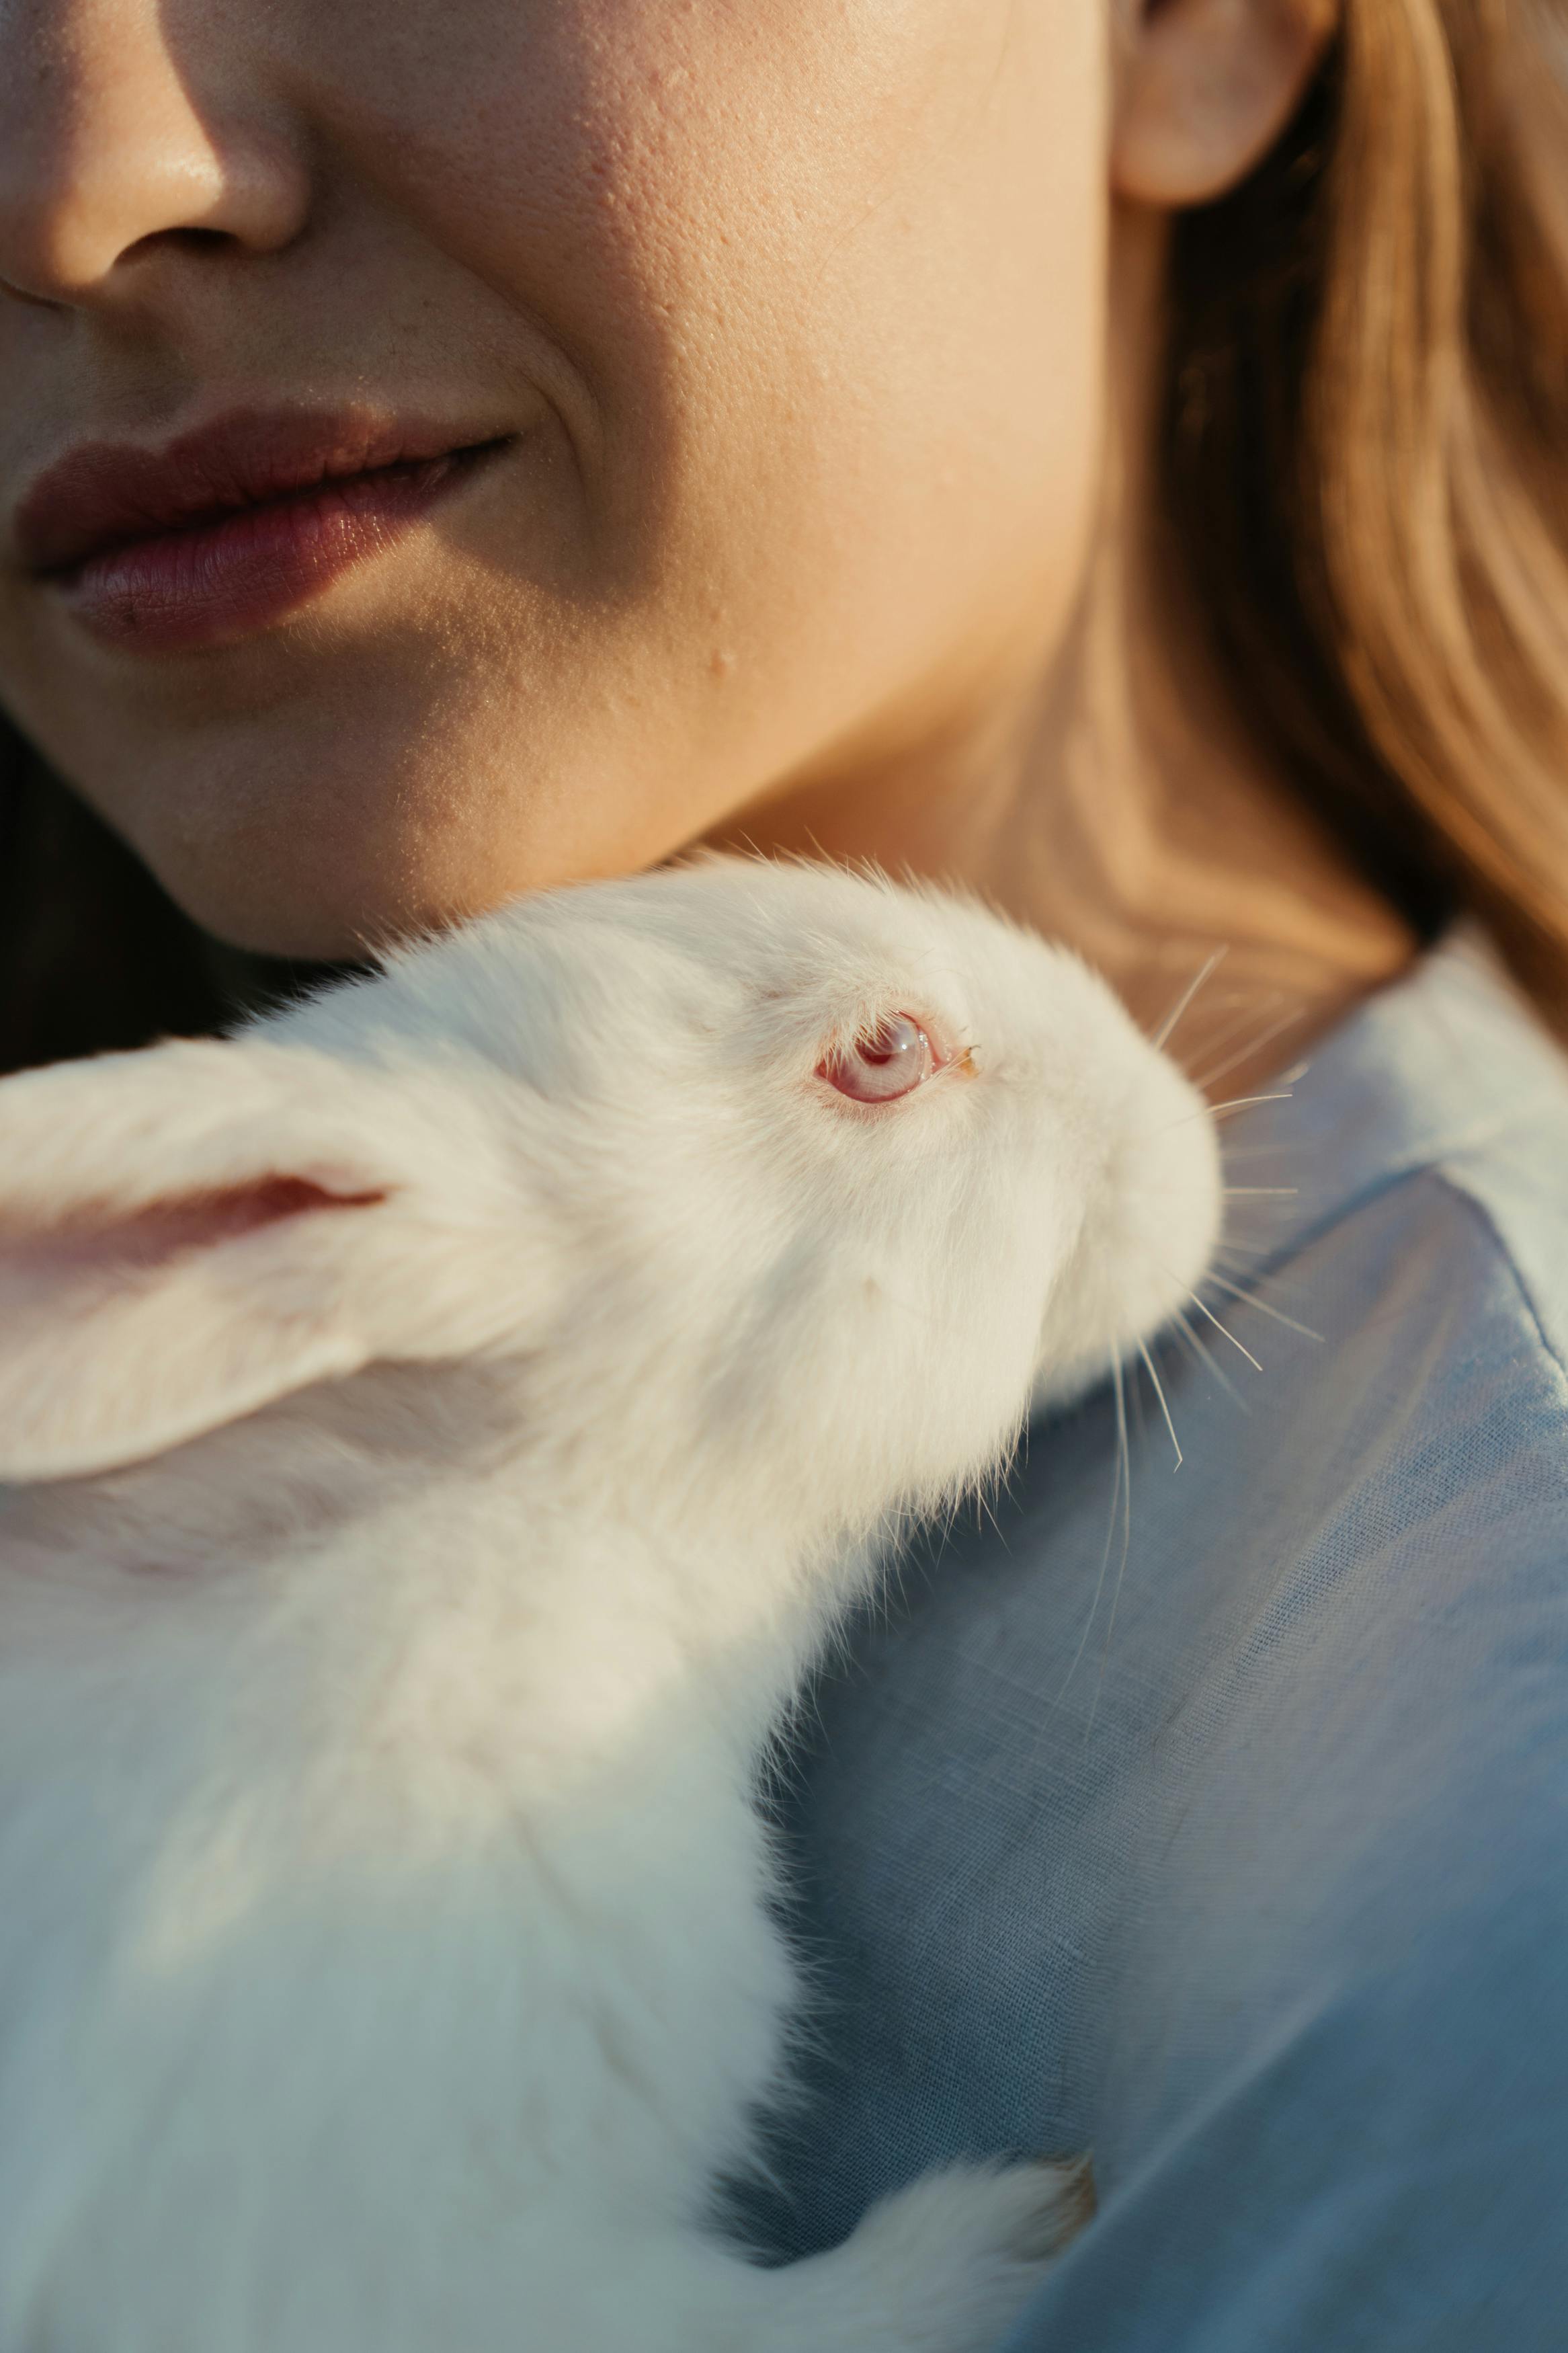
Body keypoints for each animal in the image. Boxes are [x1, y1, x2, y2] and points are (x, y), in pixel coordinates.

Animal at [0, 861, 1222, 2353]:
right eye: (885, 1051)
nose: (1183, 1133)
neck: (505, 1516)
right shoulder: (391, 2255)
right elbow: (775, 2325)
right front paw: (1018, 2228)